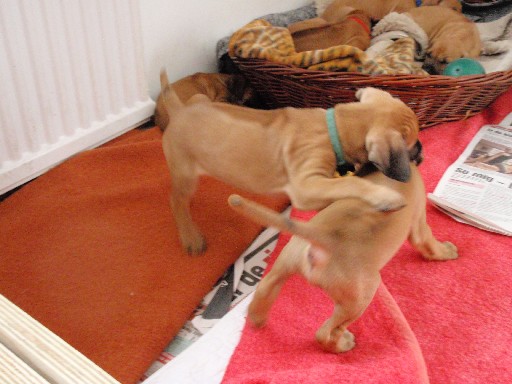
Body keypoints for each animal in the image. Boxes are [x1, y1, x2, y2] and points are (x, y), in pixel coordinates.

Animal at [162, 69, 422, 254]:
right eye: (411, 144)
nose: (422, 153)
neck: (336, 126)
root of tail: (177, 112)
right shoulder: (305, 186)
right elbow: (349, 183)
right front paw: (384, 196)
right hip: (184, 172)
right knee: (176, 201)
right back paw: (190, 236)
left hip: (200, 98)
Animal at [230, 160, 458, 352]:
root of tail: (322, 238)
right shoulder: (419, 223)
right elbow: (429, 244)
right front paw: (447, 251)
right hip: (358, 299)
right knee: (326, 333)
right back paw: (342, 345)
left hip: (284, 264)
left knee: (265, 289)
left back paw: (257, 318)